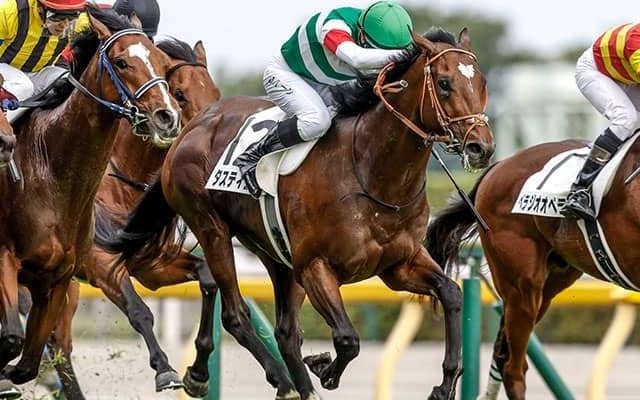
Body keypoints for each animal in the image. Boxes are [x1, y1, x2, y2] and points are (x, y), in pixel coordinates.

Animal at [0, 4, 180, 387]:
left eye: (161, 61)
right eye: (122, 62)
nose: (167, 117)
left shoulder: (58, 277)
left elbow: (30, 360)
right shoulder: (5, 258)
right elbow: (11, 340)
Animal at [32, 37, 220, 399]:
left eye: (216, 93)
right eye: (180, 93)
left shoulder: (152, 265)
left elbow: (208, 278)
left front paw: (199, 372)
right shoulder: (100, 261)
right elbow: (138, 310)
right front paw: (165, 370)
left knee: (57, 341)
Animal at [100, 28, 494, 400]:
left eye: (481, 82)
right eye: (444, 83)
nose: (482, 147)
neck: (372, 172)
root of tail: (192, 129)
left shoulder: (399, 264)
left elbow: (451, 293)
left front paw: (445, 384)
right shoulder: (315, 265)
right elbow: (347, 338)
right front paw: (325, 369)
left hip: (274, 252)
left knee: (286, 331)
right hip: (212, 229)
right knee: (236, 314)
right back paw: (259, 379)